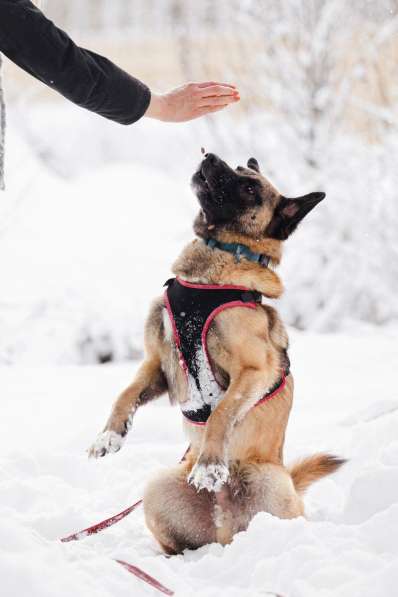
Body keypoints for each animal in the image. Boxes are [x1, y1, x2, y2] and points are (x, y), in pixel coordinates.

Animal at [88, 152, 344, 556]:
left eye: (251, 187)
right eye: (238, 169)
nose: (209, 156)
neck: (216, 262)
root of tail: (225, 523)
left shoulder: (254, 369)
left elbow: (221, 413)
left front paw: (209, 466)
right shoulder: (157, 364)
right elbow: (125, 394)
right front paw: (110, 435)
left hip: (271, 481)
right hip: (158, 488)